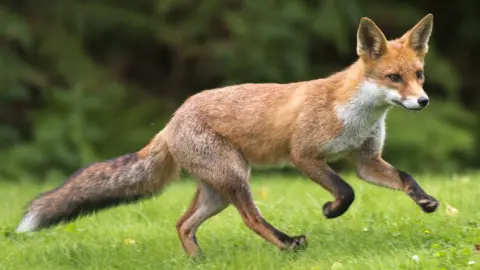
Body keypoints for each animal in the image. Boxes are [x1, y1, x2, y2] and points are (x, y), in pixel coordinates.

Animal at [15, 13, 438, 256]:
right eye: (393, 78)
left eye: (418, 75)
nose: (423, 101)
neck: (356, 113)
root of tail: (172, 120)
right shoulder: (304, 155)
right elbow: (346, 191)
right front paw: (331, 210)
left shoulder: (367, 160)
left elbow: (404, 177)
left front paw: (426, 200)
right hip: (236, 179)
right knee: (250, 219)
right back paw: (287, 244)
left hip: (217, 190)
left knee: (183, 224)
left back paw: (199, 262)